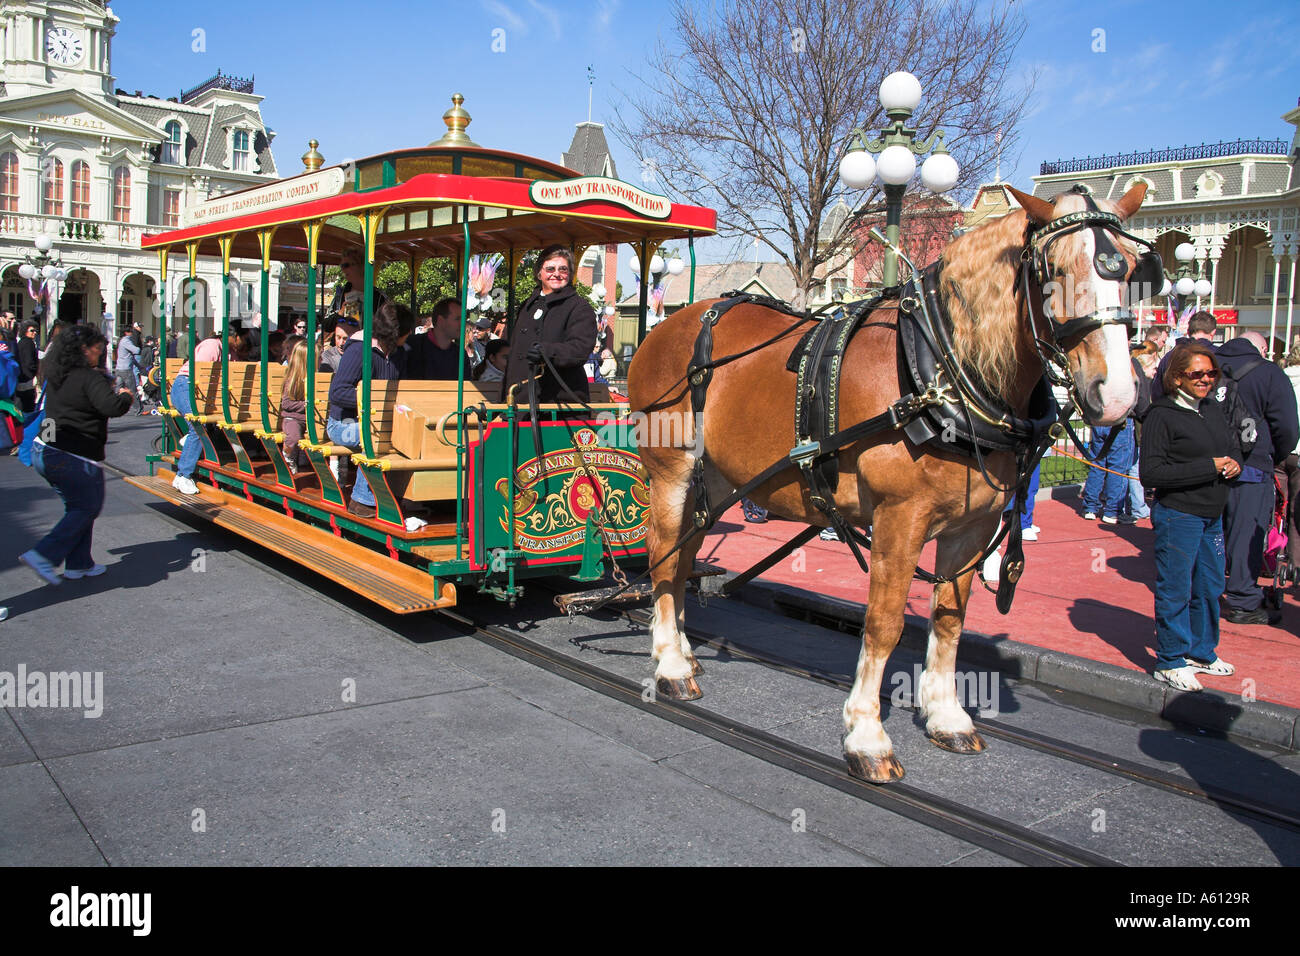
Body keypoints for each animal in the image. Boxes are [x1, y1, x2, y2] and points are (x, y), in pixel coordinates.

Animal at [626, 180, 1149, 785]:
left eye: (1132, 267)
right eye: (1053, 269)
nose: (1116, 395)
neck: (941, 370)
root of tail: (667, 326)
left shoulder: (972, 528)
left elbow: (949, 619)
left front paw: (947, 717)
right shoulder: (901, 517)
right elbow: (884, 625)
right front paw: (867, 736)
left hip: (711, 480)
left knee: (684, 559)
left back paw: (681, 651)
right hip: (671, 471)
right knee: (664, 558)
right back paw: (669, 666)